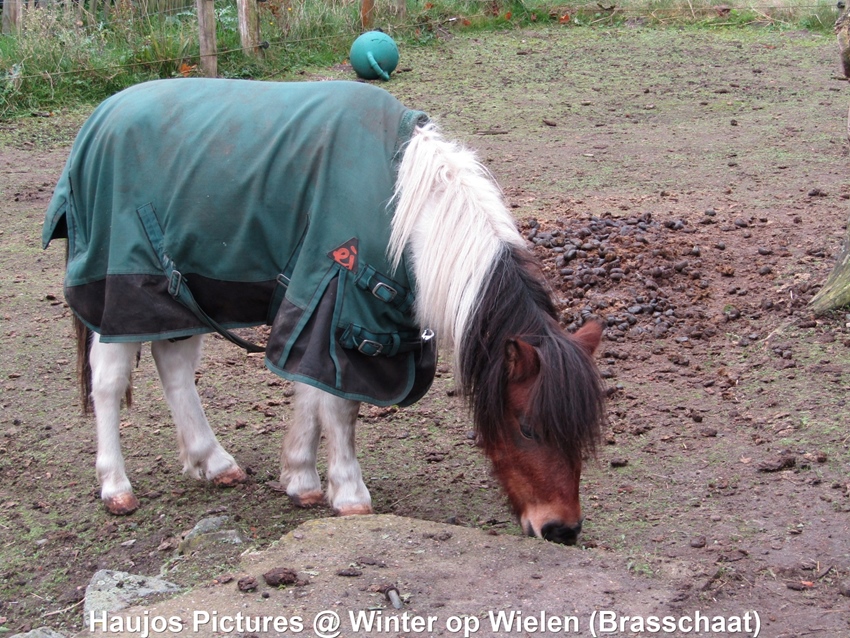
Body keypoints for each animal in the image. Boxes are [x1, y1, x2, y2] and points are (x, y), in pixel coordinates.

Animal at [43, 78, 605, 545]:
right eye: (527, 427)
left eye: (580, 430)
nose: (562, 529)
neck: (406, 208)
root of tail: (98, 121)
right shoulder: (340, 302)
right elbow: (339, 405)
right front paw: (348, 494)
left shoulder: (323, 307)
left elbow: (313, 391)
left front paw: (301, 477)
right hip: (123, 294)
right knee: (108, 382)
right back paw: (116, 486)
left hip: (183, 294)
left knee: (175, 368)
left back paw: (214, 461)